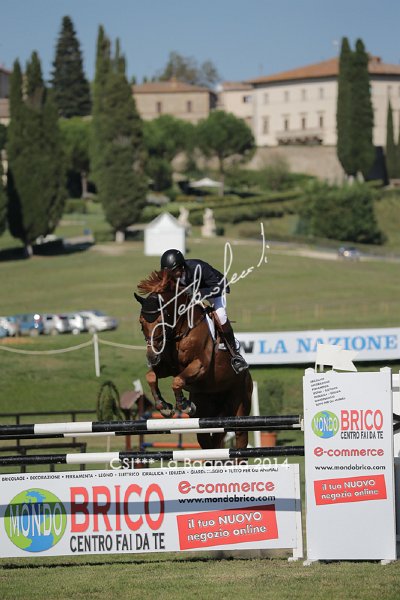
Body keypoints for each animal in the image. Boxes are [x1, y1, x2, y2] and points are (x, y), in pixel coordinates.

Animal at [134, 269, 253, 450]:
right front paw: (164, 406)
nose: (152, 357)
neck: (181, 330)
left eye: (161, 321)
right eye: (141, 323)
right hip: (209, 413)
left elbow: (177, 381)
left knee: (240, 436)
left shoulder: (199, 366)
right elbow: (151, 376)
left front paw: (184, 405)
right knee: (210, 442)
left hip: (239, 404)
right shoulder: (168, 368)